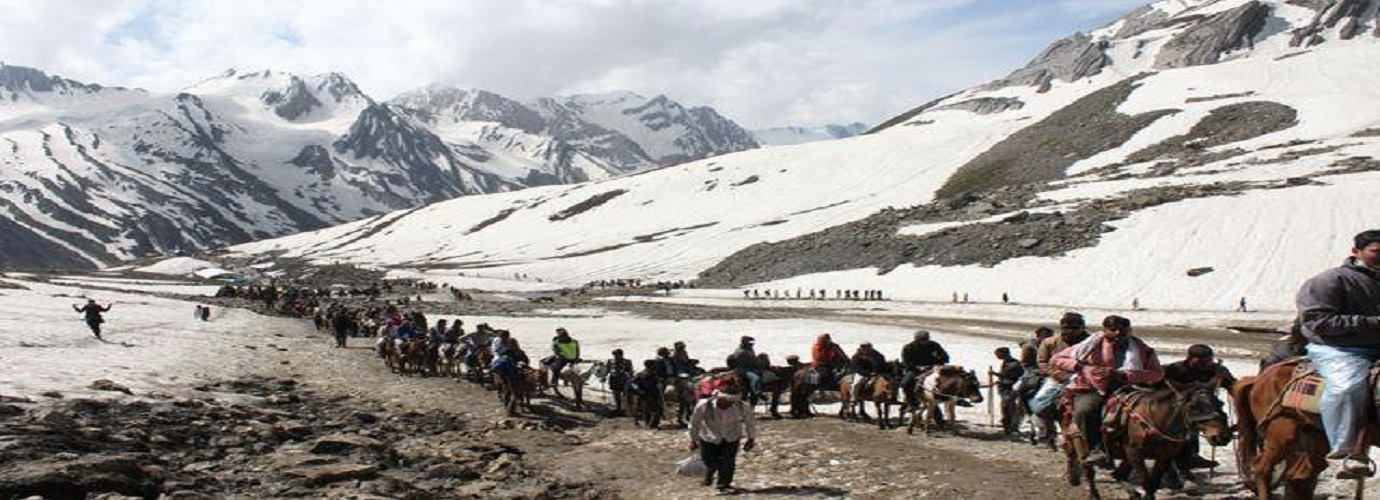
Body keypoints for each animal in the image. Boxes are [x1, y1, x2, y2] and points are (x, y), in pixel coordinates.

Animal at [1104, 381, 1236, 497]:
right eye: (1192, 406)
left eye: (1220, 403)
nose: (1223, 436)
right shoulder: (1135, 454)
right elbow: (1147, 483)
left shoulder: (1164, 456)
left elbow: (1153, 484)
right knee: (1118, 475)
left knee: (1118, 475)